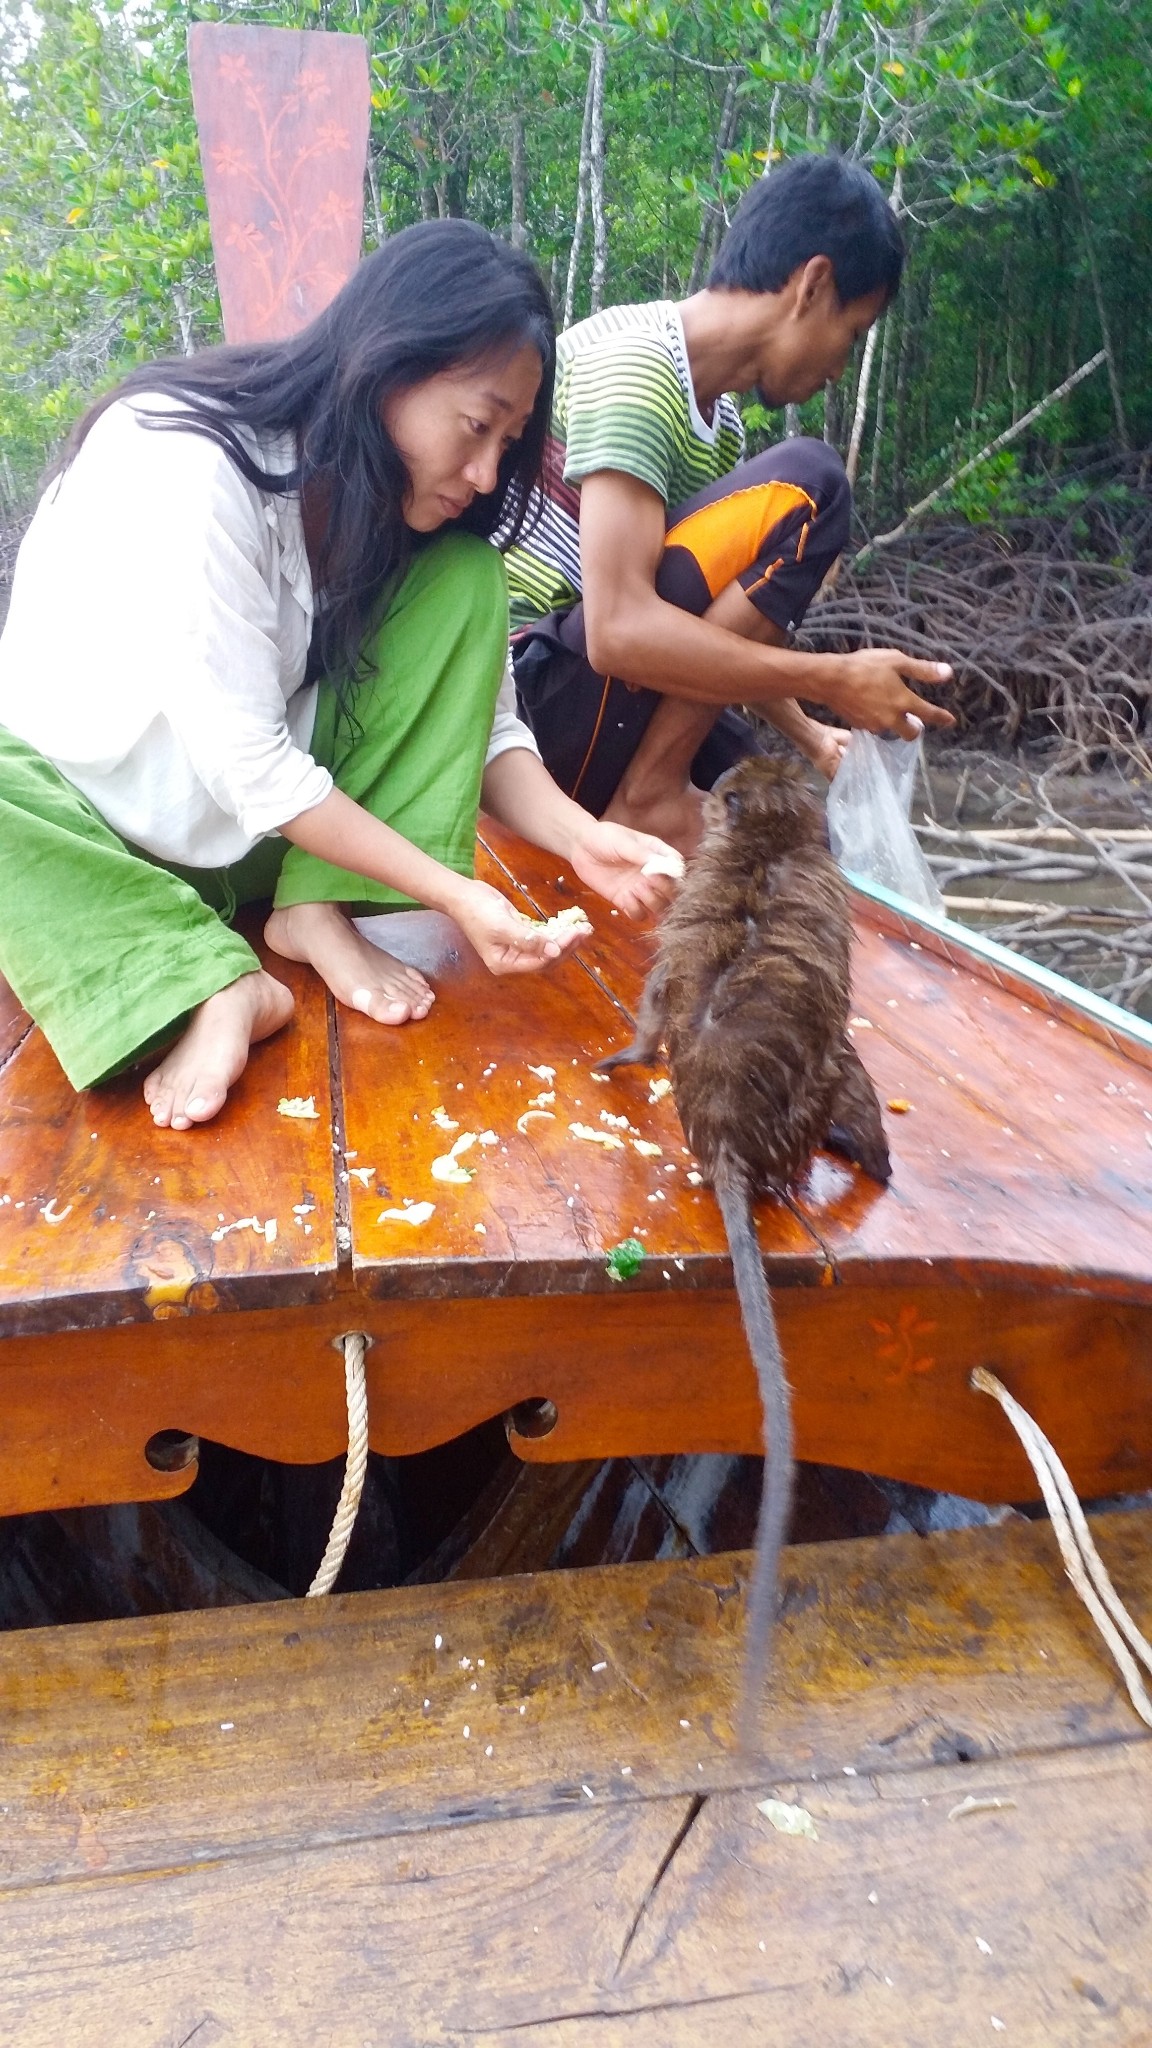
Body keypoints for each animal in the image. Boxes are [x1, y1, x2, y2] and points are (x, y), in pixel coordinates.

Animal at [590, 753, 889, 1744]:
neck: (768, 848)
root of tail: (724, 1136)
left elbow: (657, 1006)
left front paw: (627, 1055)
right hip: (814, 1100)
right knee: (842, 1068)